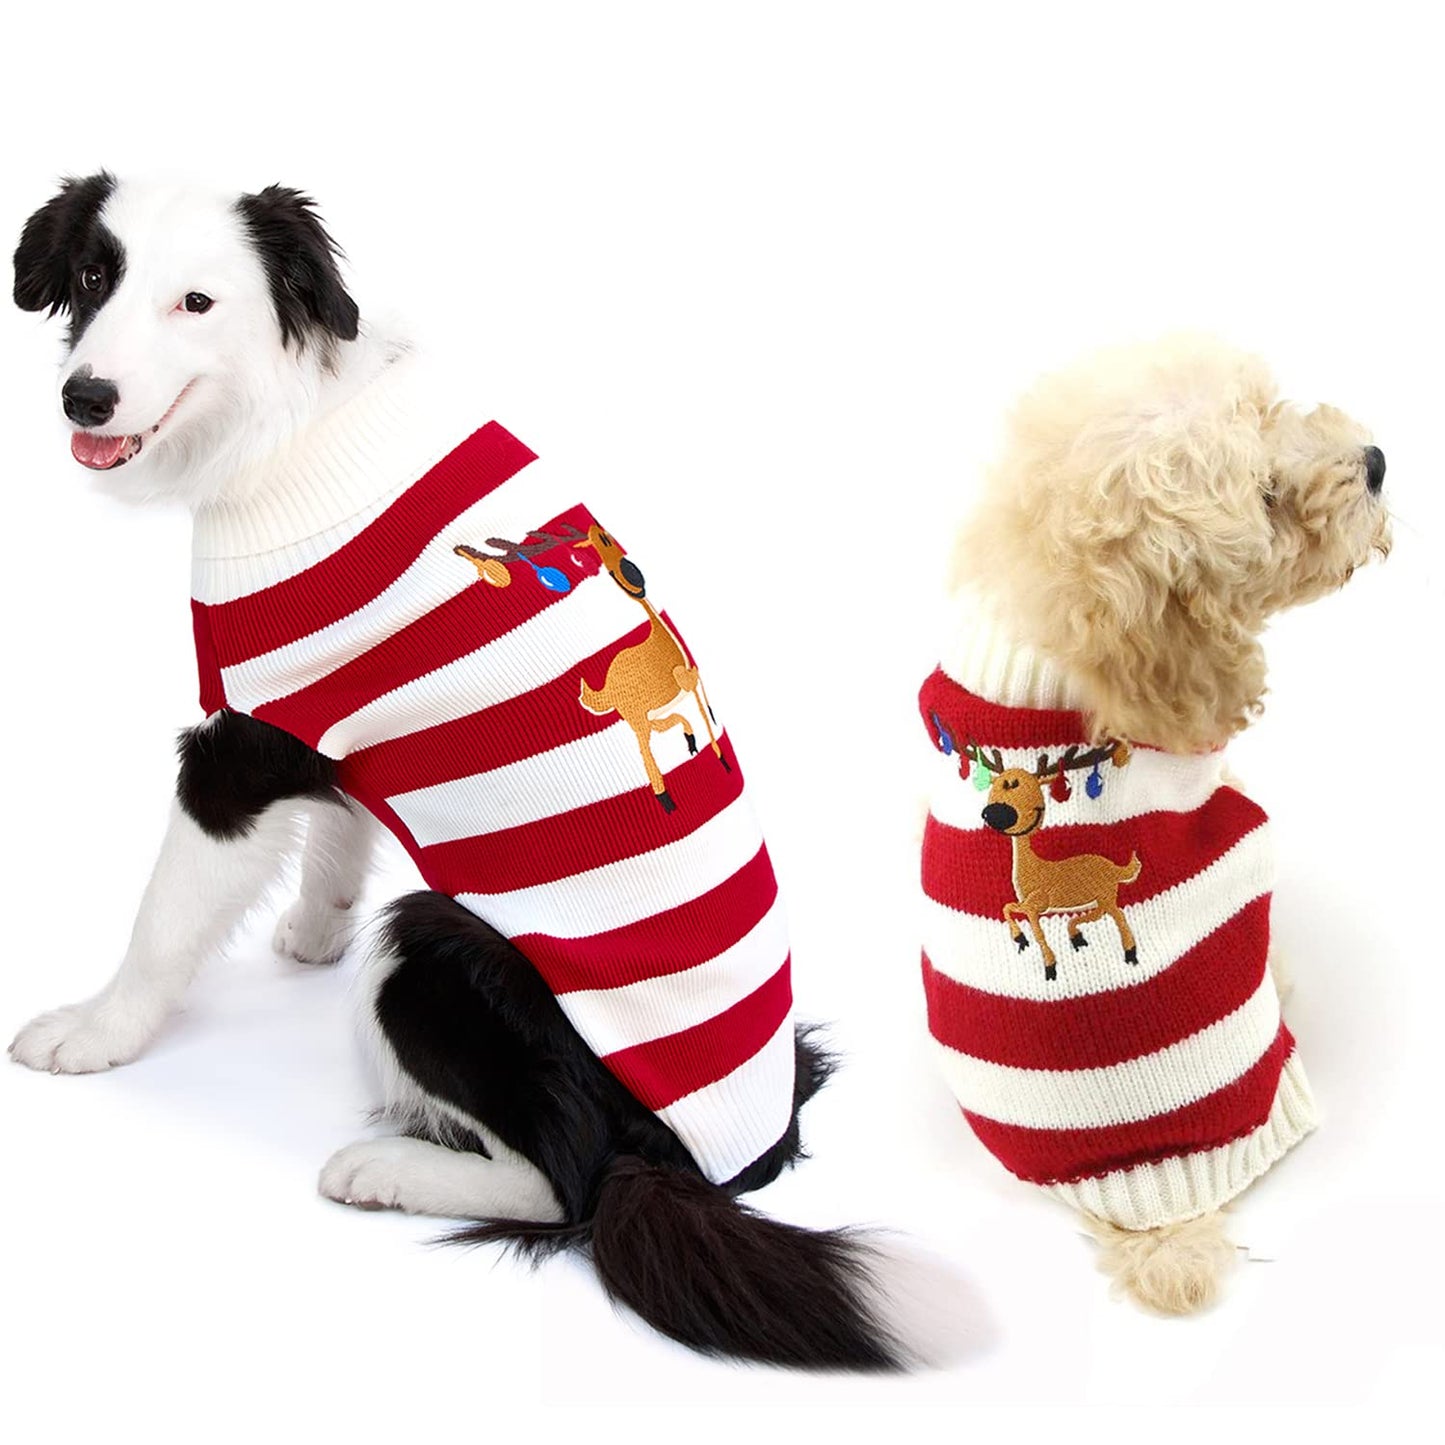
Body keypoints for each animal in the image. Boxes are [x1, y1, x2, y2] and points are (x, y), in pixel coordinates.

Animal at [574, 525, 728, 812]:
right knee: (646, 750)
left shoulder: (687, 684)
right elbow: (701, 708)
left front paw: (703, 739)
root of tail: (607, 689)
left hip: (639, 718)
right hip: (636, 718)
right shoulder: (684, 680)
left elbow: (700, 708)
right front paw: (719, 755)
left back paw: (689, 743)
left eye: (605, 538)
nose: (629, 569)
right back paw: (664, 798)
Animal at [976, 744, 1140, 981]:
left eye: (1019, 785)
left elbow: (1036, 931)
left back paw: (1130, 953)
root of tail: (1111, 866)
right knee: (1098, 915)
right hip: (1100, 898)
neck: (1032, 867)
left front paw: (1049, 965)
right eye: (996, 785)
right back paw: (1076, 936)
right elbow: (1008, 908)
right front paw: (1020, 939)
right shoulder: (1030, 906)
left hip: (1107, 896)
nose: (994, 813)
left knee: (1119, 917)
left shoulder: (1036, 906)